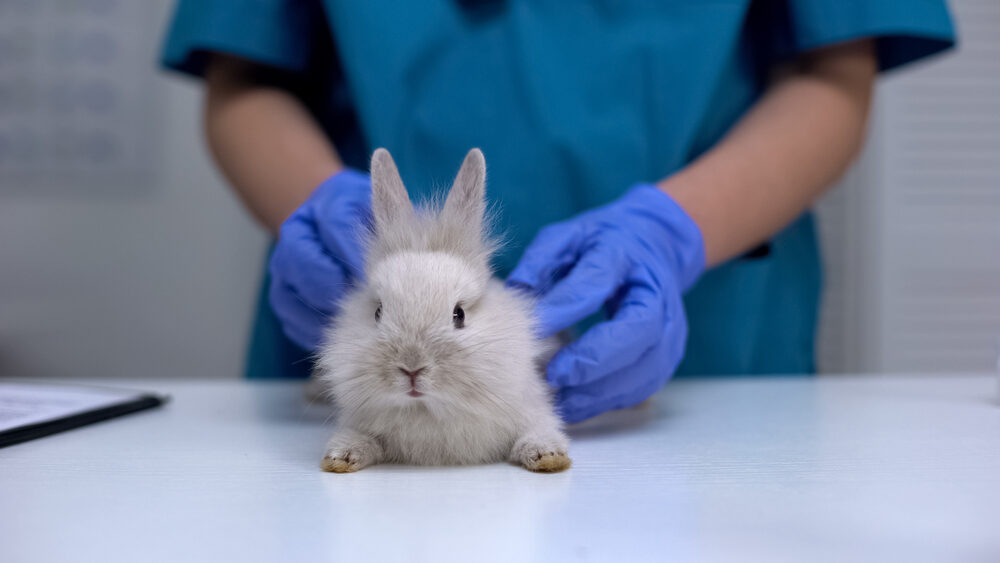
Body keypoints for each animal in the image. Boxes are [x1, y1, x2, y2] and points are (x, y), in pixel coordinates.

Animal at [318, 148, 572, 474]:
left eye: (459, 314)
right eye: (377, 313)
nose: (411, 368)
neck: (428, 411)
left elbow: (538, 431)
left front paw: (548, 457)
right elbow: (359, 438)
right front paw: (340, 458)